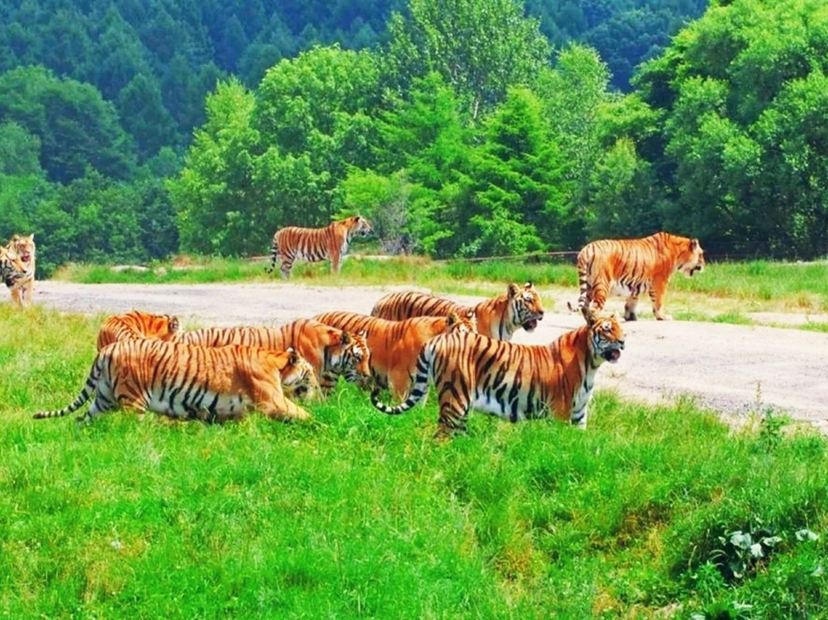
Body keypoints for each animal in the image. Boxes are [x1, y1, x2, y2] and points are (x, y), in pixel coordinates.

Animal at [33, 341, 315, 424]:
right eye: (310, 373)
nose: (315, 390)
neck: (275, 361)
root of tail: (107, 349)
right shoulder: (274, 400)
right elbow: (303, 414)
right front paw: (320, 423)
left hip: (103, 400)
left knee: (81, 421)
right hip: (133, 401)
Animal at [313, 310, 476, 399]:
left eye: (475, 334)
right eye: (463, 335)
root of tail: (317, 317)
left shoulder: (423, 384)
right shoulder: (399, 380)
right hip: (328, 375)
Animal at [371, 307, 625, 436]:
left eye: (620, 328)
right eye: (607, 329)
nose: (623, 342)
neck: (592, 363)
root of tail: (438, 339)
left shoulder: (579, 414)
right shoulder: (561, 413)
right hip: (455, 399)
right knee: (441, 435)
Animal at [570, 231, 705, 321]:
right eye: (701, 254)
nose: (704, 265)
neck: (678, 253)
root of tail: (586, 249)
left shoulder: (635, 283)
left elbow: (632, 301)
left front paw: (631, 317)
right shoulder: (660, 281)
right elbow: (659, 301)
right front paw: (662, 317)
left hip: (589, 285)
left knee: (585, 307)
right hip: (602, 284)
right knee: (594, 308)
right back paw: (611, 318)